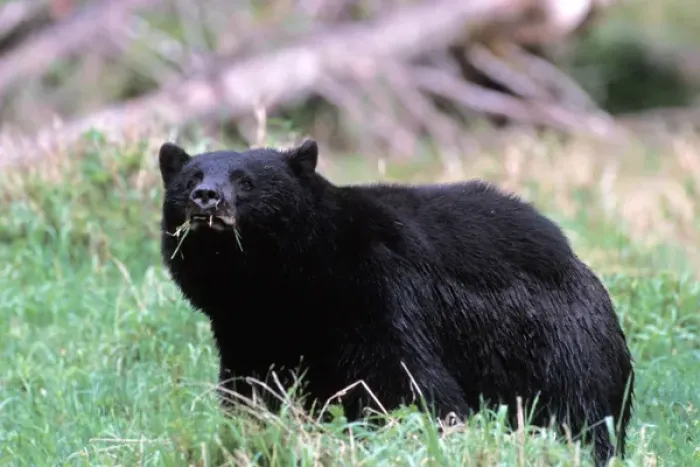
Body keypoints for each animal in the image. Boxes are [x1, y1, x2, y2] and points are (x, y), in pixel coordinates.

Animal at [157, 139, 634, 466]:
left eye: (246, 181)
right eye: (190, 180)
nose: (206, 198)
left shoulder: (379, 292)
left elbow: (408, 382)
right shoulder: (249, 332)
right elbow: (251, 390)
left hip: (562, 351)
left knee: (579, 415)